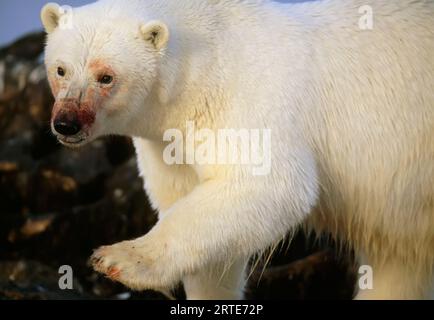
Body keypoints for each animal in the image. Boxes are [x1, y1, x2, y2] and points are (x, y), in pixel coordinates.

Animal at [40, 0, 434, 300]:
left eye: (106, 76)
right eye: (60, 69)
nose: (67, 123)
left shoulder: (250, 101)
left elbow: (269, 186)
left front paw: (121, 259)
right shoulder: (168, 144)